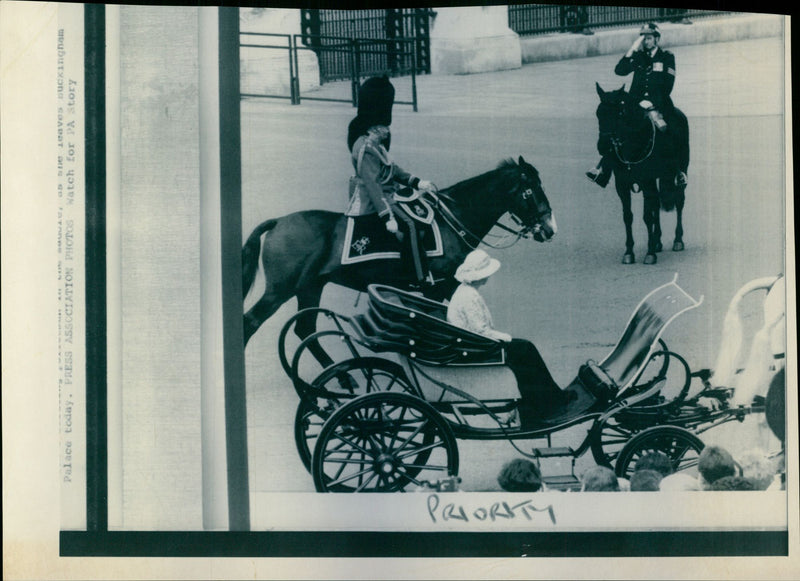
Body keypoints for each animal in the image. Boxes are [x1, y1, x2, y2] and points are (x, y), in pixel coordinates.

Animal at [242, 156, 556, 370]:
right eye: (531, 191)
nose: (550, 228)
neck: (451, 220)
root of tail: (279, 221)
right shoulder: (440, 286)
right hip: (280, 291)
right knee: (251, 322)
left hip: (309, 287)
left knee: (304, 329)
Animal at [592, 82, 688, 264]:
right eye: (598, 113)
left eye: (619, 113)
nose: (603, 146)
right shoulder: (622, 185)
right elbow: (628, 216)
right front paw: (629, 252)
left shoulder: (647, 181)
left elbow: (647, 216)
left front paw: (649, 253)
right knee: (656, 204)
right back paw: (657, 241)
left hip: (680, 172)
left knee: (679, 201)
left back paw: (678, 240)